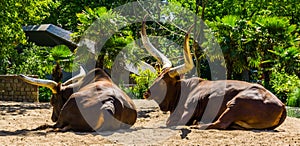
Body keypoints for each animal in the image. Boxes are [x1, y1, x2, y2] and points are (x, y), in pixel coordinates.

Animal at [141, 20, 286, 129]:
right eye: (157, 77)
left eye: (163, 81)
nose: (146, 93)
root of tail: (282, 105)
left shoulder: (188, 110)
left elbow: (170, 122)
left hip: (235, 103)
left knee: (221, 123)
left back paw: (198, 124)